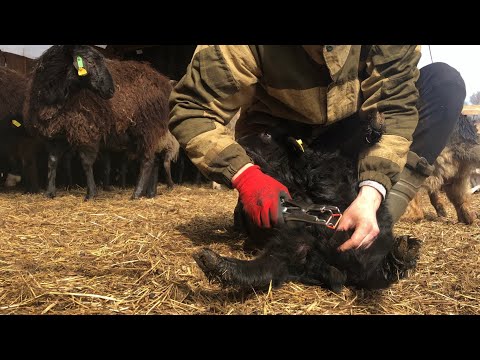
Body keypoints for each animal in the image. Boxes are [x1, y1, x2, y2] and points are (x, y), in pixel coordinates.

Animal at [23, 45, 174, 200]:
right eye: (89, 61)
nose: (111, 90)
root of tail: (162, 80)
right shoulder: (54, 134)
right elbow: (52, 162)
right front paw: (50, 192)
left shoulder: (85, 130)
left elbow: (86, 163)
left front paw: (91, 193)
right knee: (156, 160)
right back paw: (150, 193)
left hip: (147, 126)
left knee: (147, 160)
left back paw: (136, 194)